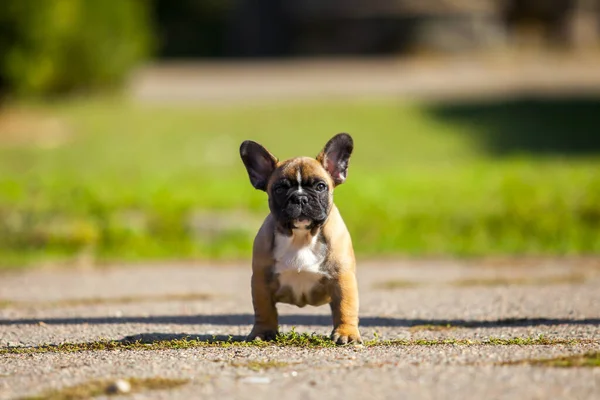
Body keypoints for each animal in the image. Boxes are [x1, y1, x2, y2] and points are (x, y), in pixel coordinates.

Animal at [239, 134, 360, 344]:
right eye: (279, 189)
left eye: (320, 186)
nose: (300, 198)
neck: (301, 237)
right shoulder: (261, 281)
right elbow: (264, 310)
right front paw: (262, 332)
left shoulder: (342, 279)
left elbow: (345, 307)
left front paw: (347, 333)